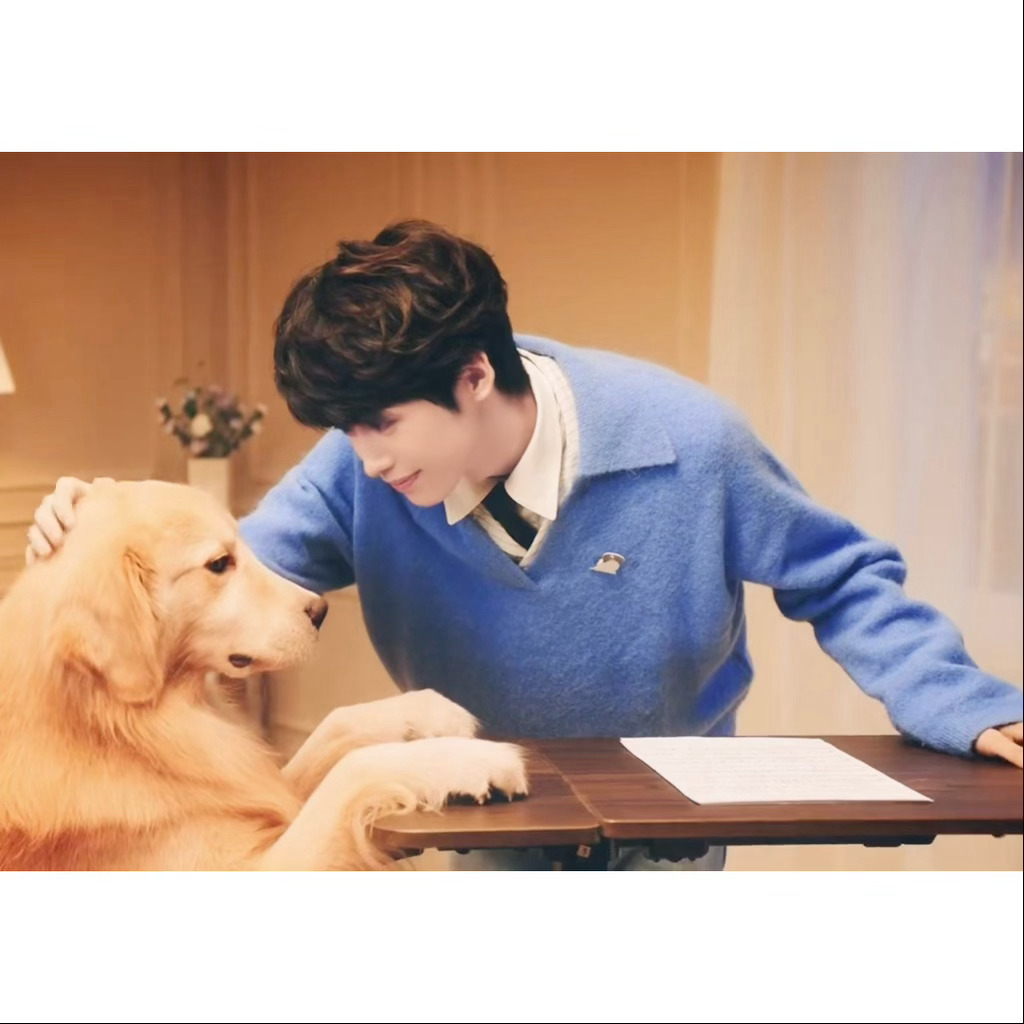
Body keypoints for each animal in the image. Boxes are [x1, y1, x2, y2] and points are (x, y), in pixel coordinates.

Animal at [0, 479, 527, 870]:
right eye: (219, 564)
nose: (320, 611)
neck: (114, 729)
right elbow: (355, 768)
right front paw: (471, 760)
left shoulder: (256, 777)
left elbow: (336, 726)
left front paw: (429, 710)